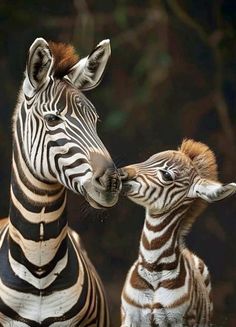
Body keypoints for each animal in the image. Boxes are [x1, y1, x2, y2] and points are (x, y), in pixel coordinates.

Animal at [120, 140, 236, 327]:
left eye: (167, 176)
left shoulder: (178, 320)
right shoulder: (130, 317)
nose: (119, 174)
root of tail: (186, 251)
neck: (153, 270)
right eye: (148, 159)